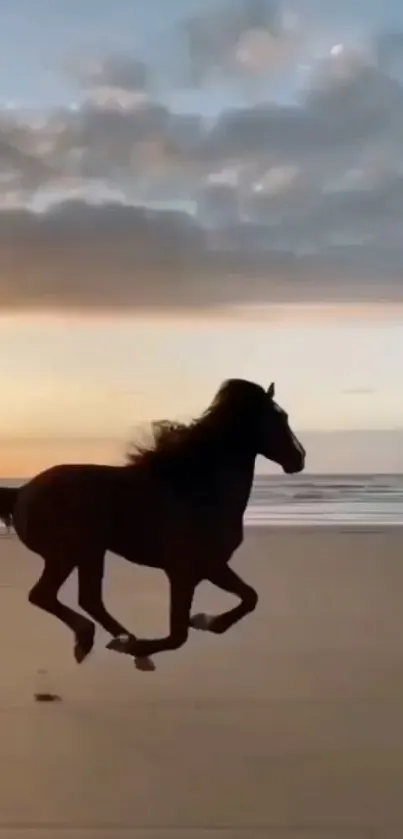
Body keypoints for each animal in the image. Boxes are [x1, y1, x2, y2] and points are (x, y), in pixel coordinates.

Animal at [0, 380, 306, 668]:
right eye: (279, 417)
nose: (299, 458)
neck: (198, 489)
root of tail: (21, 491)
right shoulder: (184, 571)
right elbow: (178, 635)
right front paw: (149, 645)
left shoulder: (211, 567)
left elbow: (250, 597)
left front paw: (205, 621)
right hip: (71, 554)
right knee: (48, 595)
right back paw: (103, 641)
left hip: (88, 554)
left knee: (85, 598)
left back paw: (120, 641)